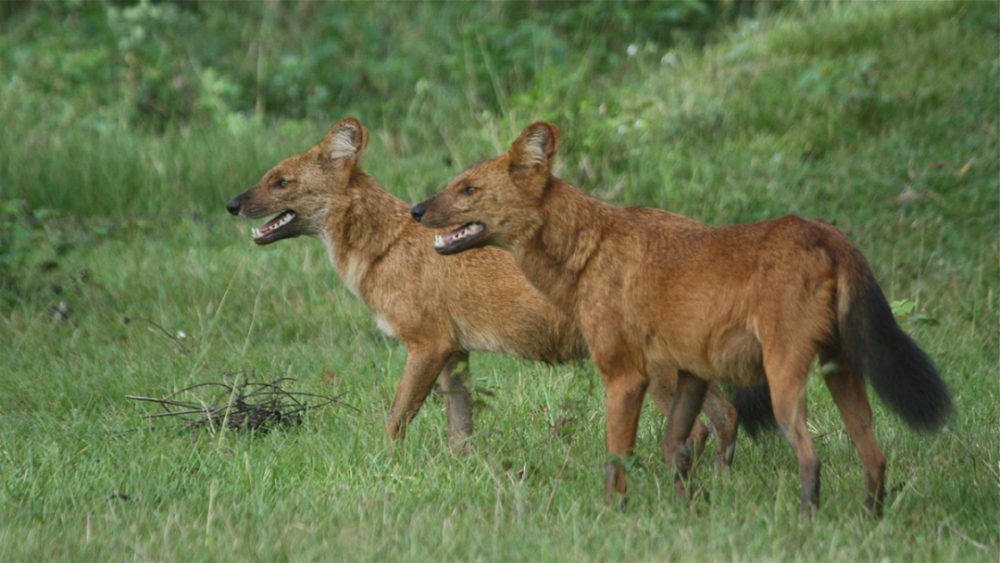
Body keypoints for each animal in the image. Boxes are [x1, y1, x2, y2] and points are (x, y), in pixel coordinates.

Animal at [227, 117, 744, 464]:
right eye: (267, 177)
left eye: (282, 182)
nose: (231, 204)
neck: (383, 246)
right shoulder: (454, 352)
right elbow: (461, 429)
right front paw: (460, 473)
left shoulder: (427, 344)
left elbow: (397, 416)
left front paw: (383, 466)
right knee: (726, 417)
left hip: (656, 368)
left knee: (698, 429)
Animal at [414, 123, 952, 516]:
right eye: (454, 184)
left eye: (468, 189)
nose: (417, 209)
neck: (587, 251)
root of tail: (827, 233)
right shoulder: (691, 372)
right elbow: (679, 448)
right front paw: (690, 510)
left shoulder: (626, 375)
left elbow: (618, 454)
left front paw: (611, 514)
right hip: (842, 372)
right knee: (875, 457)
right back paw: (868, 521)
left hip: (784, 380)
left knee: (811, 458)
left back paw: (806, 523)